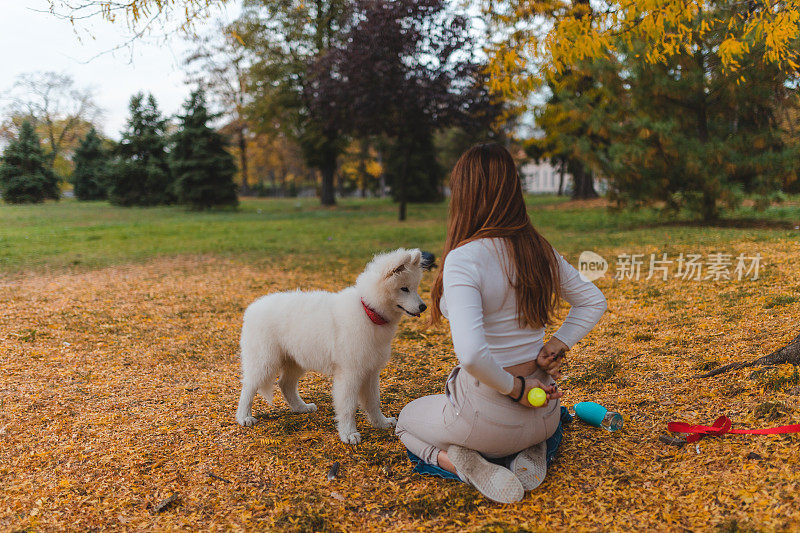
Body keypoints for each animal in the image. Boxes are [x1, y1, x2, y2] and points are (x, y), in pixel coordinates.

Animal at [236, 247, 428, 442]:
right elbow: (348, 406)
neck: (368, 311)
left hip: (296, 360)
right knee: (248, 387)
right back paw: (244, 417)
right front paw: (348, 434)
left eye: (414, 288)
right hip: (264, 362)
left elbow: (374, 401)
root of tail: (252, 308)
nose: (423, 307)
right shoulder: (350, 373)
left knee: (285, 384)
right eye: (404, 288)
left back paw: (301, 407)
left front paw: (380, 423)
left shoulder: (371, 371)